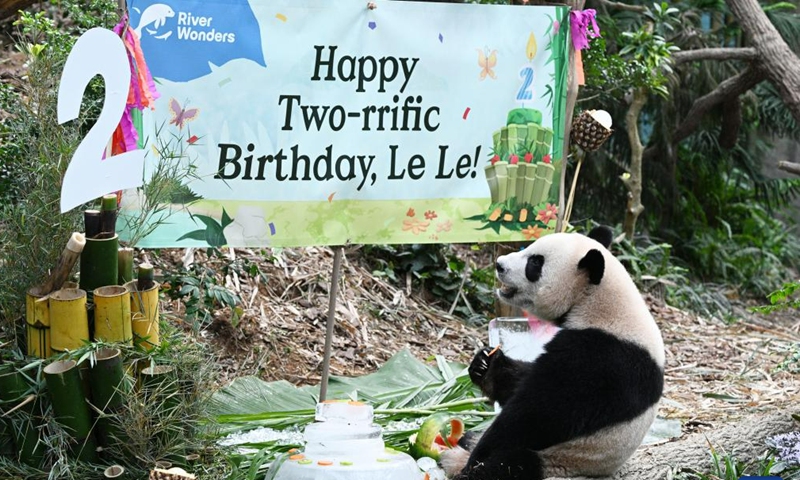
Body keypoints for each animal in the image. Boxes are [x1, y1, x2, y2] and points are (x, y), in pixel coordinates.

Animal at [440, 226, 665, 480]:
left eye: (535, 263)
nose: (499, 264)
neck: (598, 302)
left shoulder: (602, 357)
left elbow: (541, 412)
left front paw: (477, 459)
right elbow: (522, 382)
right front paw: (486, 365)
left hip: (561, 459)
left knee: (511, 464)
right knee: (471, 438)